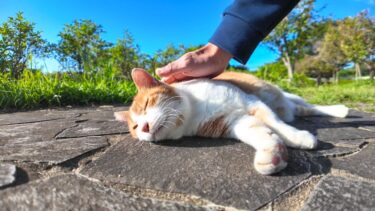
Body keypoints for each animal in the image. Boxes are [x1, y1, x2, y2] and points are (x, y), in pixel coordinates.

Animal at [115, 68, 350, 175]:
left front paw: (297, 137)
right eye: (135, 127)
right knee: (300, 110)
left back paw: (339, 111)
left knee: (308, 107)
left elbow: (276, 124)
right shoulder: (235, 122)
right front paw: (272, 153)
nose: (144, 127)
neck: (195, 109)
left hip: (278, 95)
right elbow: (259, 132)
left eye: (147, 104)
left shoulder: (252, 102)